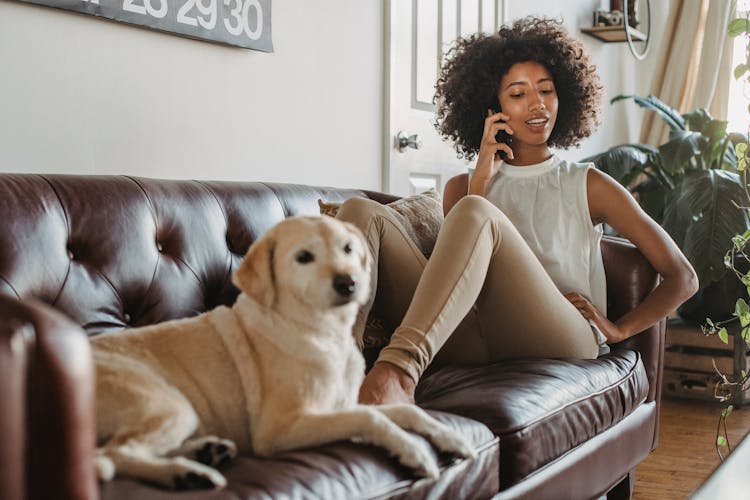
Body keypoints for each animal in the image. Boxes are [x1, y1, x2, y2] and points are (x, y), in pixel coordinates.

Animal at [91, 214, 472, 488]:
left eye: (348, 248)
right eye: (304, 257)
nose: (349, 282)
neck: (323, 333)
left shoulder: (343, 405)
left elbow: (407, 412)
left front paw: (449, 436)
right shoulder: (282, 428)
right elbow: (372, 418)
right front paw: (413, 451)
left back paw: (204, 453)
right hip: (170, 404)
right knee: (115, 452)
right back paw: (185, 474)